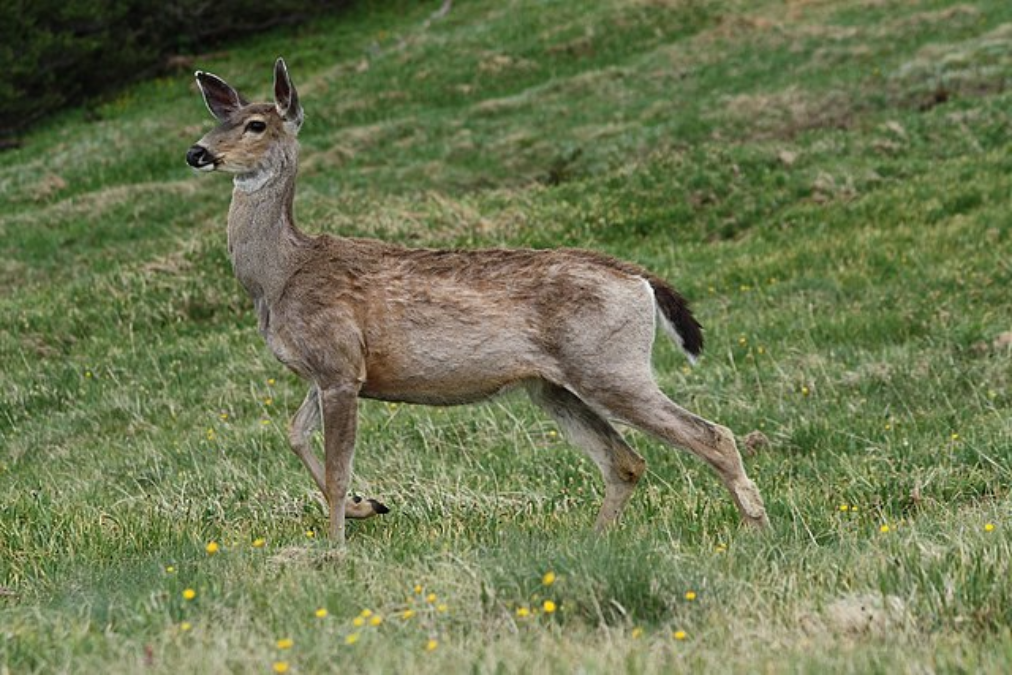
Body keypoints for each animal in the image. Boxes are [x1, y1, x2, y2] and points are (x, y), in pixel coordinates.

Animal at [186, 56, 765, 542]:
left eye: (256, 124)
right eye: (218, 119)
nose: (197, 153)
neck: (281, 275)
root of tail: (638, 279)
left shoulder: (338, 366)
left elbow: (335, 468)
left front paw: (335, 548)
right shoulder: (327, 371)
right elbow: (294, 435)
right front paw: (368, 505)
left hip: (609, 365)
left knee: (711, 435)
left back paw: (756, 525)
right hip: (552, 386)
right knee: (626, 462)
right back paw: (594, 541)